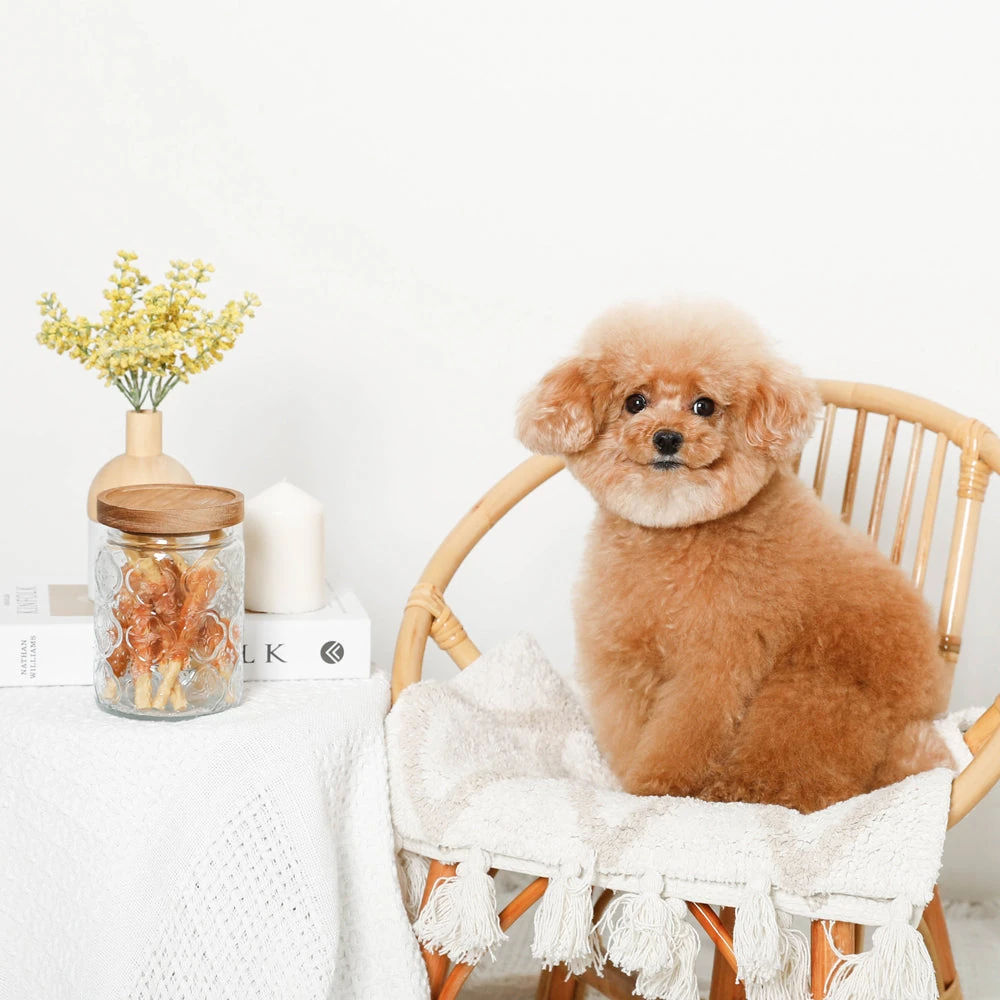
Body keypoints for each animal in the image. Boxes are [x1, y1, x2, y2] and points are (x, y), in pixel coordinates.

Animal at [516, 300, 952, 813]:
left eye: (704, 405)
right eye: (635, 402)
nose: (667, 438)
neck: (676, 534)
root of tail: (919, 717)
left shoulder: (717, 661)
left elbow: (683, 735)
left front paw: (655, 787)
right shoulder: (629, 655)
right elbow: (630, 726)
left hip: (808, 697)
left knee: (797, 781)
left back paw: (732, 790)